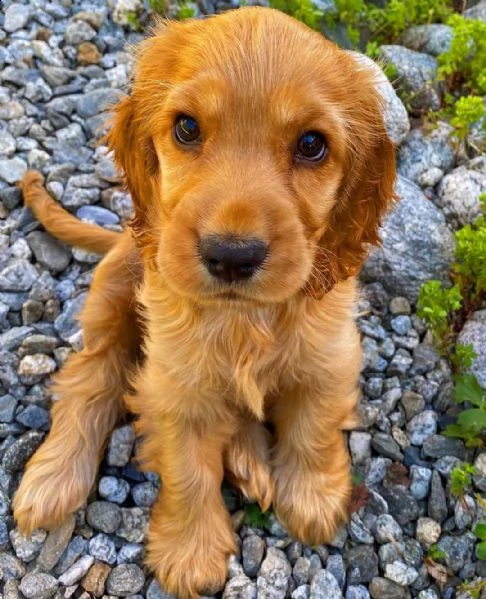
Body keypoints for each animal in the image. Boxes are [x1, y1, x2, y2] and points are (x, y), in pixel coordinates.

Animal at [14, 7, 394, 596]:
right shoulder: (174, 384)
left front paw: (314, 502)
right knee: (87, 380)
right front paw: (190, 554)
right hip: (113, 296)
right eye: (187, 128)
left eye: (312, 144)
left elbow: (314, 426)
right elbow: (188, 468)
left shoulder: (330, 354)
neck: (244, 319)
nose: (232, 256)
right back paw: (52, 479)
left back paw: (250, 459)